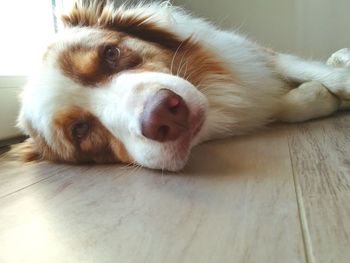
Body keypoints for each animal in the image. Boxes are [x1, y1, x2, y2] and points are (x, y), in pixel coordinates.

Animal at [15, 0, 350, 171]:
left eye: (111, 54)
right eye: (79, 131)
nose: (163, 113)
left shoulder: (252, 55)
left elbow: (309, 70)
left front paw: (335, 83)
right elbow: (284, 104)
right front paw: (317, 97)